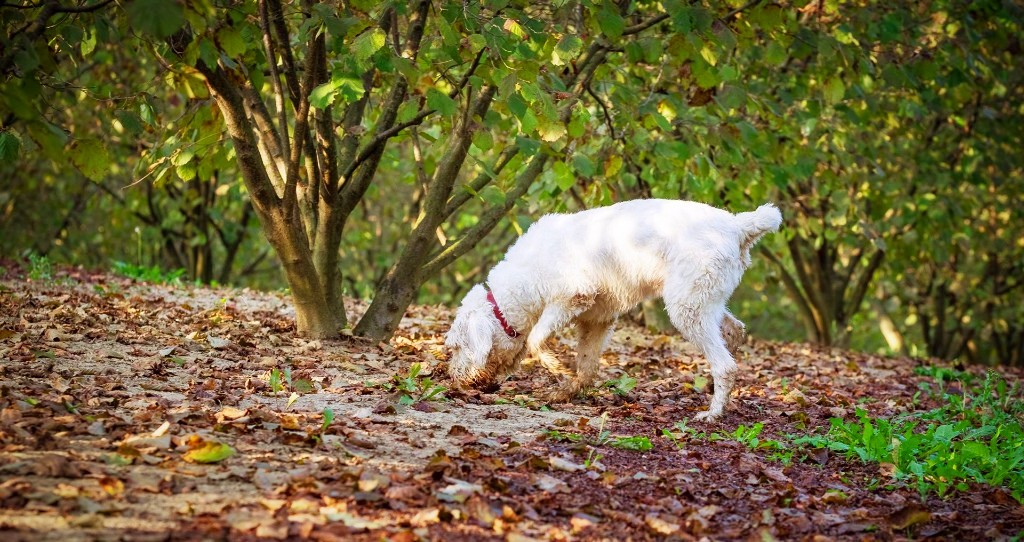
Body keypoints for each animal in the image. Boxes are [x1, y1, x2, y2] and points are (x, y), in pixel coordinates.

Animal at [442, 198, 782, 418]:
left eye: (456, 347)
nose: (452, 379)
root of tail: (737, 225)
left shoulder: (570, 298)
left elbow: (538, 340)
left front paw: (557, 369)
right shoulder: (597, 320)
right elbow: (587, 366)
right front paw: (566, 391)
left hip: (686, 308)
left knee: (725, 364)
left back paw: (712, 413)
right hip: (704, 302)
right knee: (734, 333)